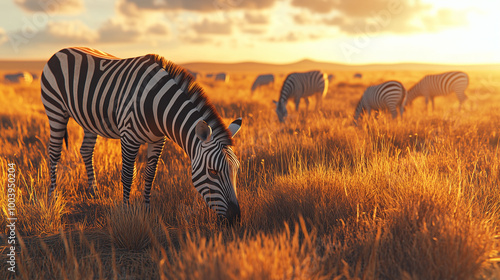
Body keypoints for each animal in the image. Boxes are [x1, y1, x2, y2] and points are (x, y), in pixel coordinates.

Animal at [40, 47, 243, 224]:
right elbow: (128, 174)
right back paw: (53, 196)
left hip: (89, 119)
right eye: (213, 171)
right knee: (54, 153)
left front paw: (147, 210)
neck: (158, 105)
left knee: (86, 150)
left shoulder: (158, 140)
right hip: (55, 109)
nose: (235, 218)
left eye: (236, 170)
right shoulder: (129, 137)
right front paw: (126, 211)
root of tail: (62, 50)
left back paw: (93, 190)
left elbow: (150, 174)